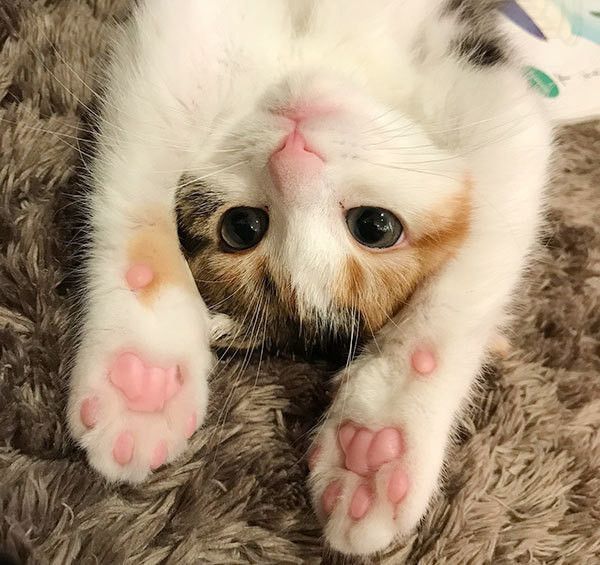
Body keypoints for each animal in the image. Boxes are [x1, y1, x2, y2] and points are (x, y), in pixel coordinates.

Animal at [67, 0, 552, 556]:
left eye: (375, 226)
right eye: (242, 227)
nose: (292, 153)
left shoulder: (484, 84)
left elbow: (503, 187)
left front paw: (380, 441)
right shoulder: (193, 29)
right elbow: (145, 159)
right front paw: (140, 371)